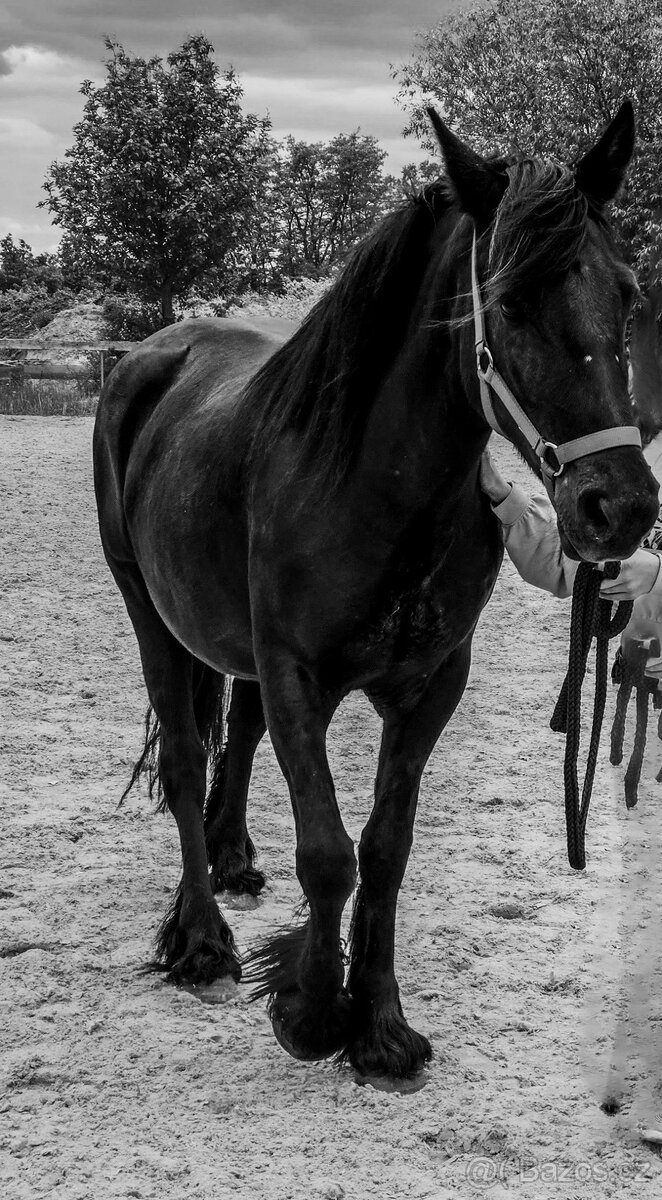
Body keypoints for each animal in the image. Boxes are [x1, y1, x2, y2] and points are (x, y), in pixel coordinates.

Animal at [93, 100, 659, 1085]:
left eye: (626, 295)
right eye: (508, 301)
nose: (618, 507)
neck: (373, 491)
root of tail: (148, 356)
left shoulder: (429, 688)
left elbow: (386, 850)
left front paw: (383, 1025)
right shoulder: (298, 680)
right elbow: (328, 853)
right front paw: (315, 1011)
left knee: (235, 735)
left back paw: (234, 857)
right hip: (147, 611)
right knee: (185, 758)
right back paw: (200, 939)